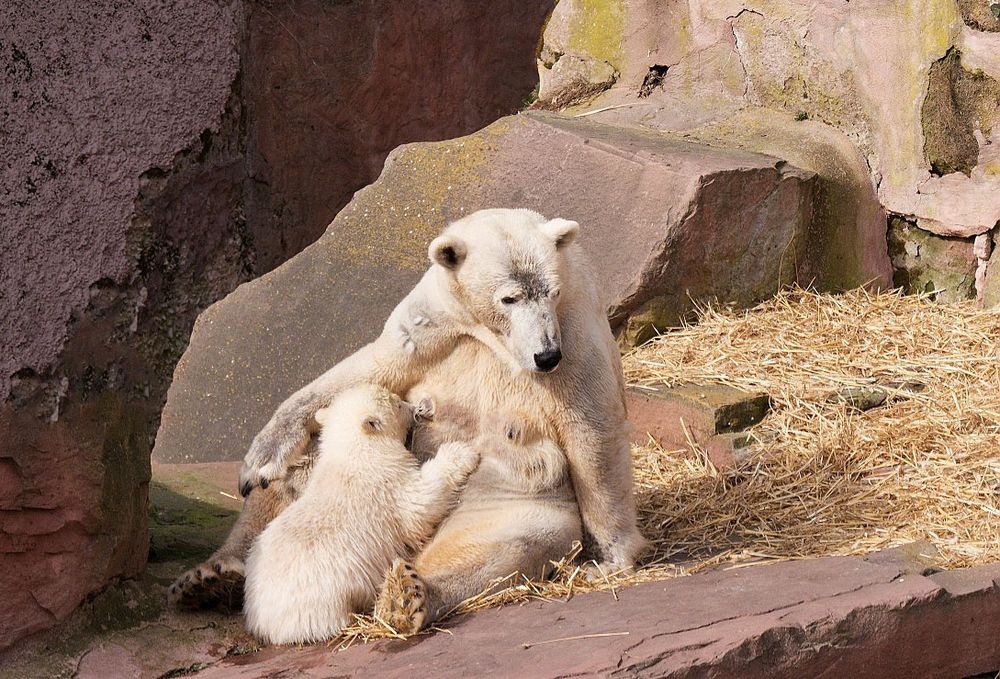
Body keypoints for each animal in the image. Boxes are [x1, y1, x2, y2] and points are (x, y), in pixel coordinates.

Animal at [168, 209, 644, 632]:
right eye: (509, 298)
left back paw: (409, 594)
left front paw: (609, 561)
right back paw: (210, 578)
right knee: (294, 476)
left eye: (552, 292)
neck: (486, 335)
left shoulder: (574, 335)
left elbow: (592, 432)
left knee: (502, 545)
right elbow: (370, 369)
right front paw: (263, 456)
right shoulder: (431, 323)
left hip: (505, 501)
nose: (545, 355)